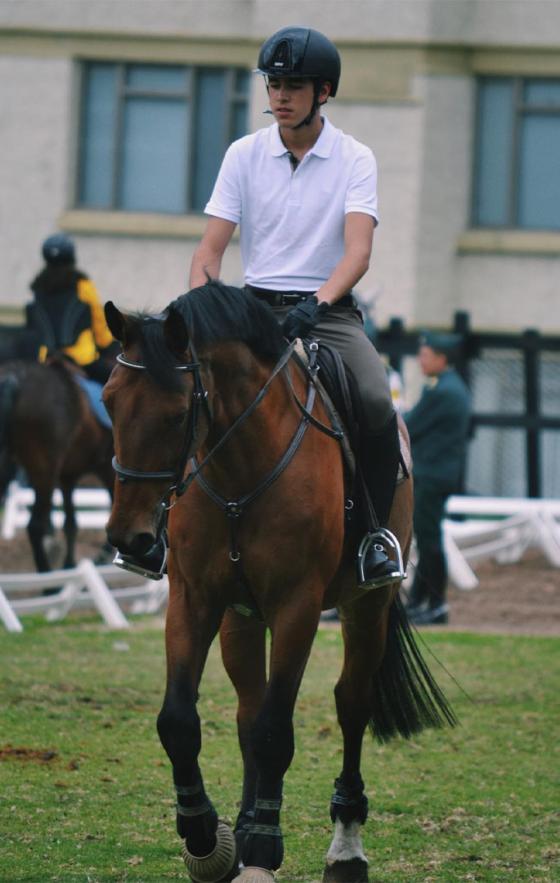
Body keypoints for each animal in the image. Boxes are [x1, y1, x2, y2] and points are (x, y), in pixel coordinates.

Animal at [0, 360, 115, 572]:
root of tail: (14, 378)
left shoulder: (68, 476)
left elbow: (71, 523)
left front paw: (69, 565)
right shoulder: (109, 469)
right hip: (43, 469)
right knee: (35, 526)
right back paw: (46, 576)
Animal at [105, 284, 456, 883]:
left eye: (176, 415)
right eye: (108, 401)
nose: (130, 538)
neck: (238, 468)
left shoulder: (298, 606)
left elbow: (275, 731)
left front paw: (263, 848)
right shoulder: (195, 599)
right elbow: (180, 720)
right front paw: (206, 837)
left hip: (367, 607)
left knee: (350, 704)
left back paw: (345, 847)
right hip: (241, 618)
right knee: (249, 709)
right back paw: (247, 823)